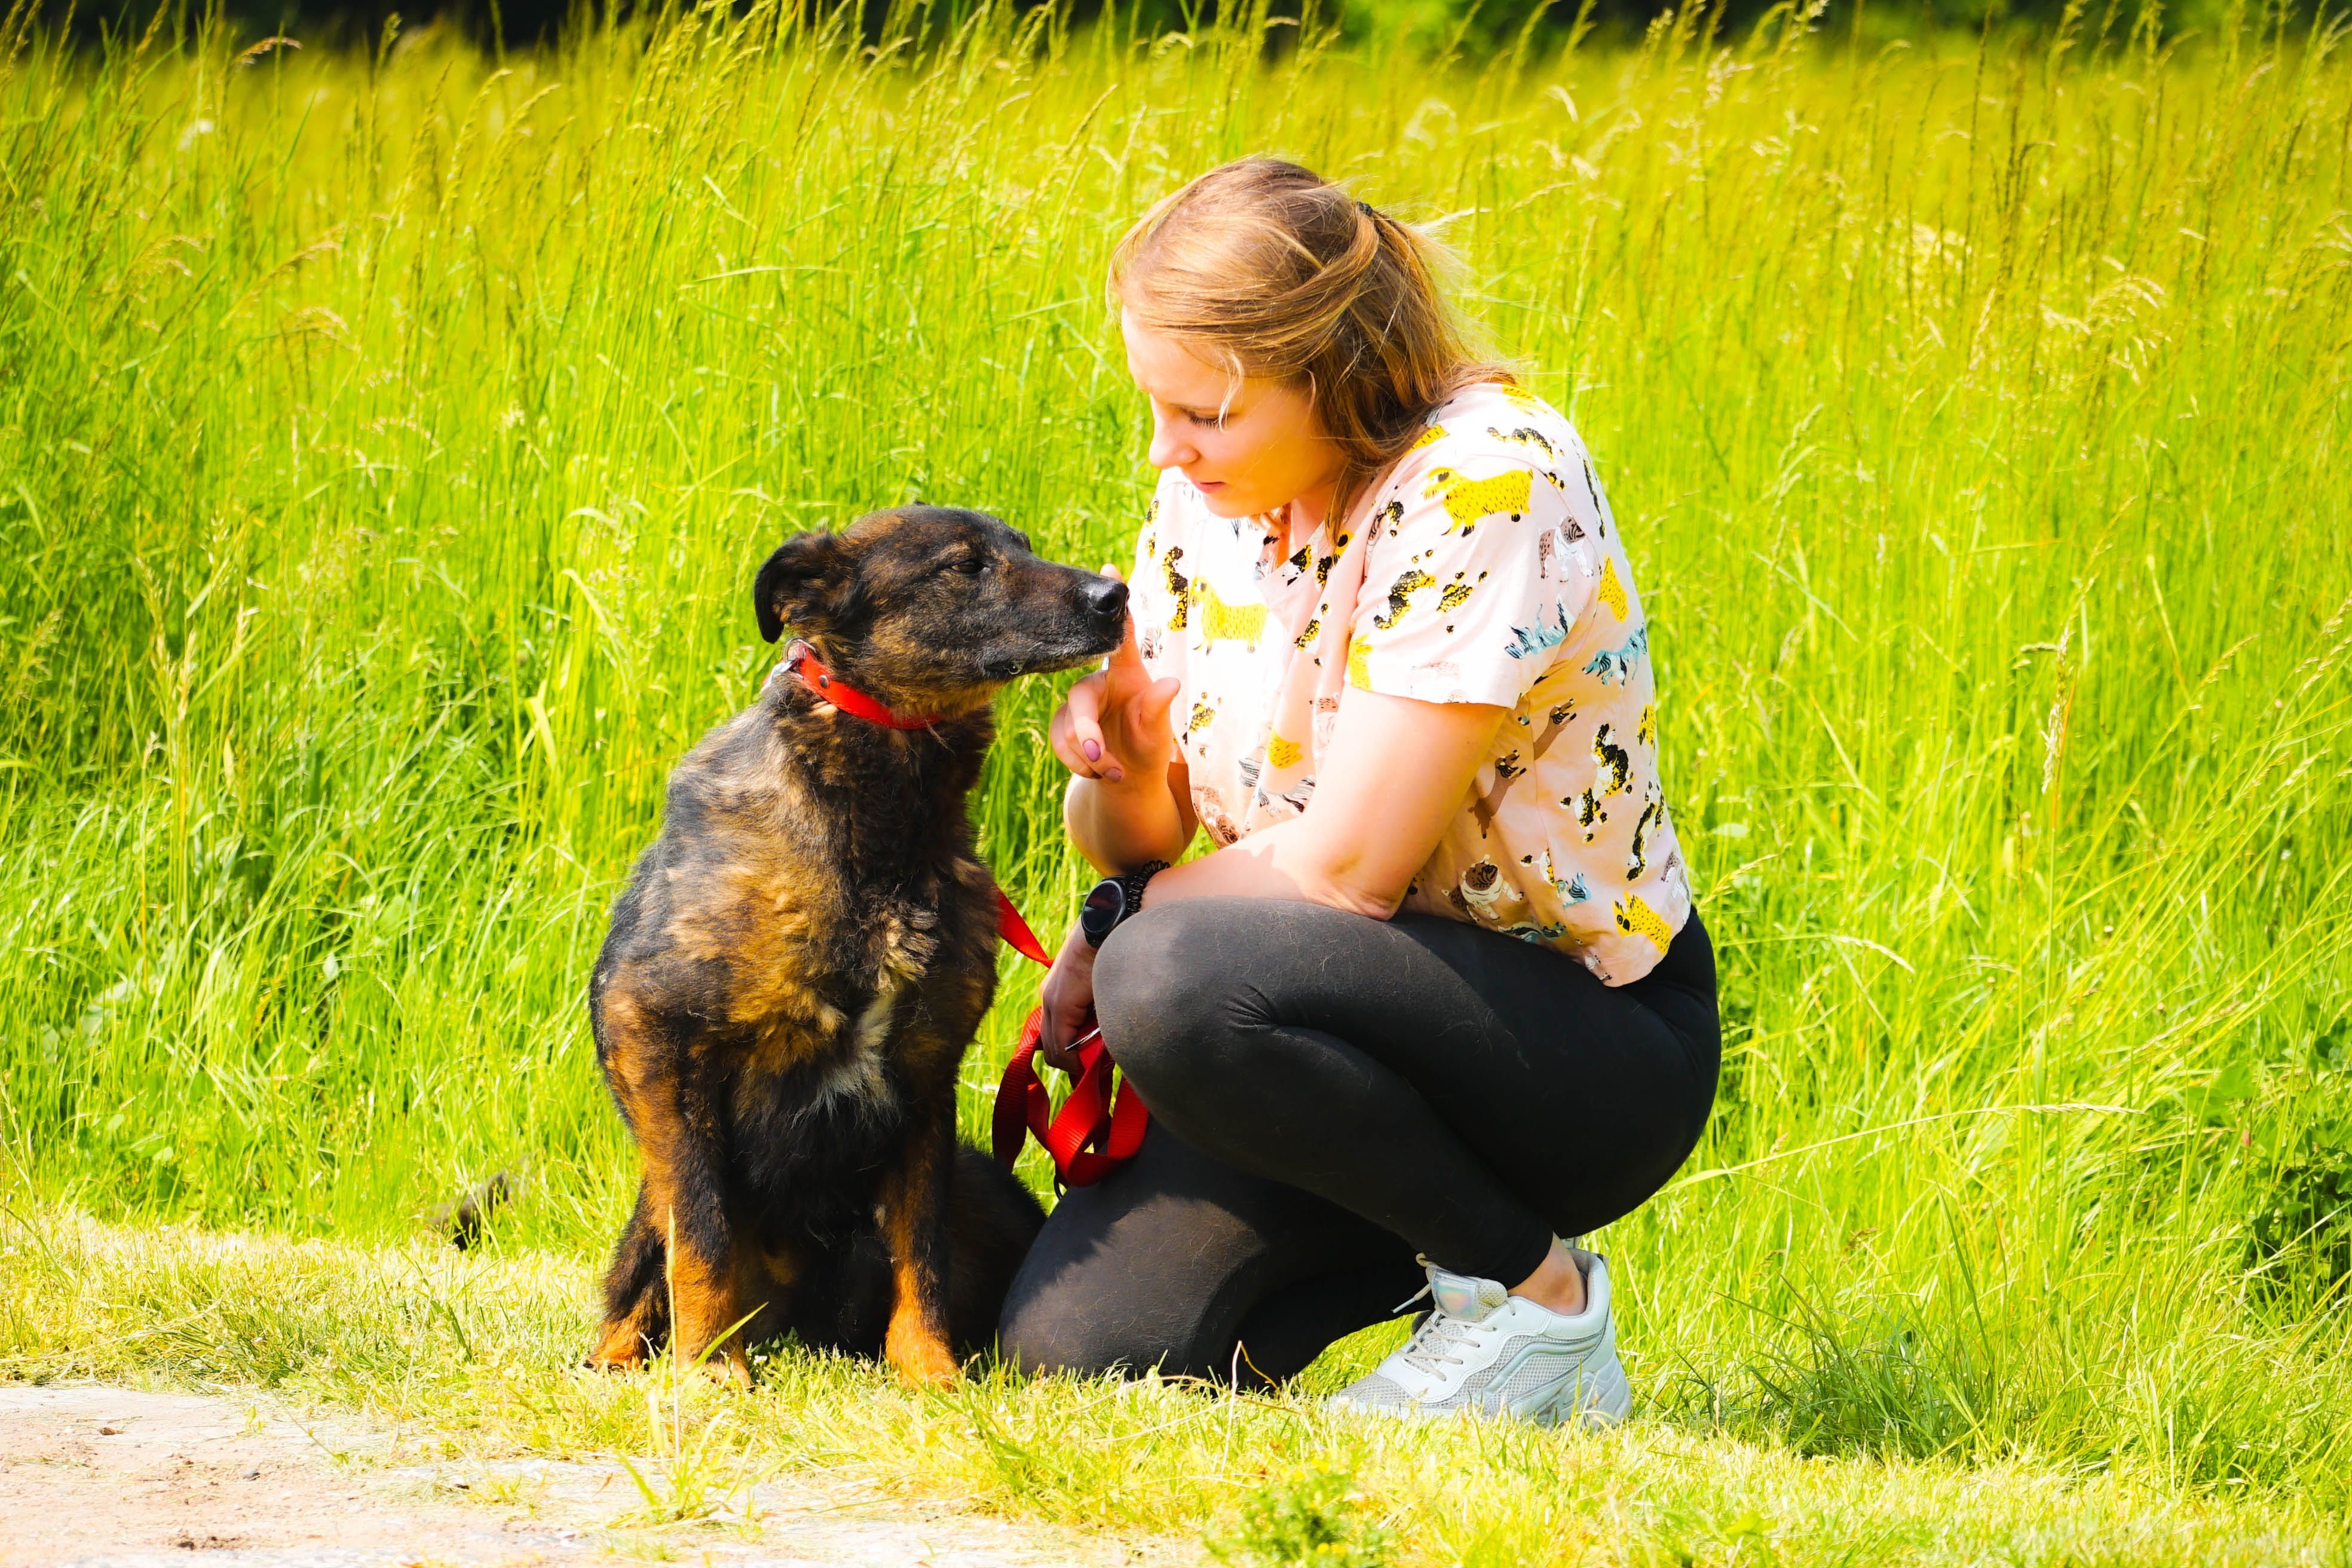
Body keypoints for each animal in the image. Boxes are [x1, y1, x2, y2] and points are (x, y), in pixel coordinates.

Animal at [592, 503, 1134, 1382]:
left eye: (1021, 548)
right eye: (964, 565)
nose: (1115, 597)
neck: (882, 836)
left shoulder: (924, 1079)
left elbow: (921, 1248)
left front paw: (929, 1370)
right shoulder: (657, 1035)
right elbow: (702, 1231)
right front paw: (710, 1367)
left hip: (981, 1181)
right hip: (651, 1189)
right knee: (645, 1262)